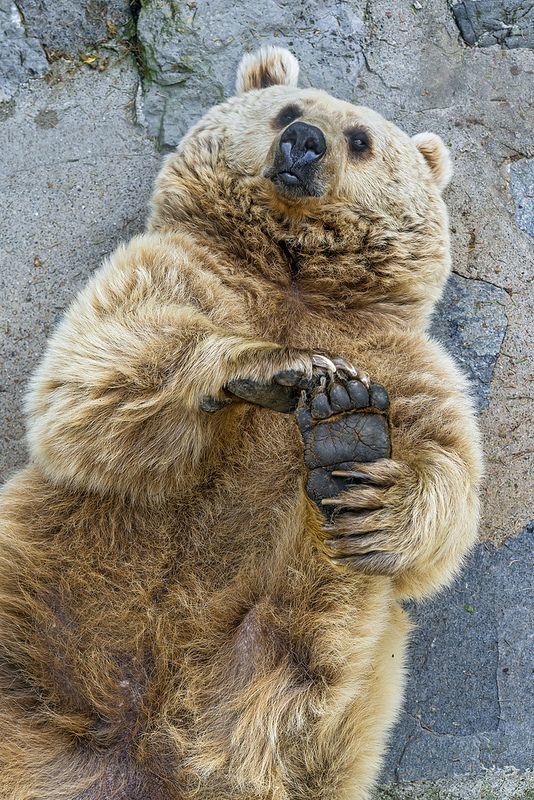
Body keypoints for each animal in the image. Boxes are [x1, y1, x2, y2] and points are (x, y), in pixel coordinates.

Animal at [0, 48, 486, 800]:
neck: (294, 278)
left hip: (284, 684)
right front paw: (272, 366)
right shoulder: (173, 269)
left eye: (360, 139)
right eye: (288, 109)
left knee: (306, 633)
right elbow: (98, 370)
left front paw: (371, 471)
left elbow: (447, 482)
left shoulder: (407, 365)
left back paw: (341, 447)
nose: (304, 141)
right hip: (40, 614)